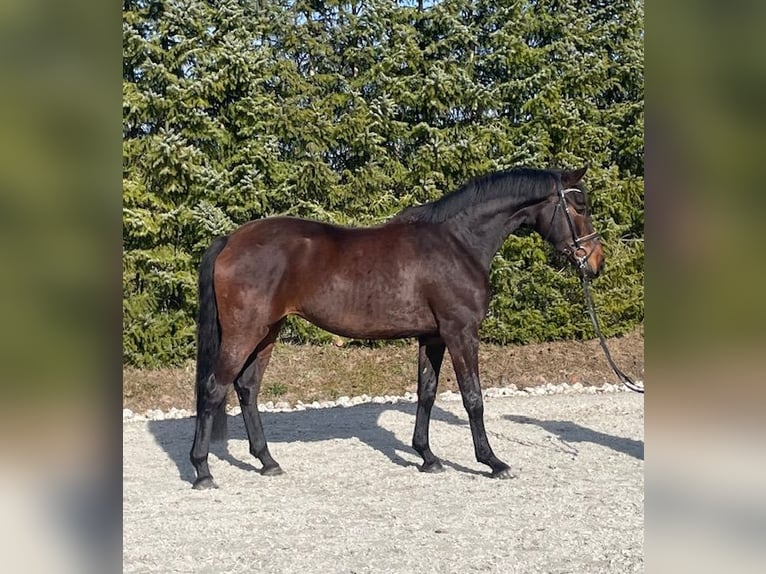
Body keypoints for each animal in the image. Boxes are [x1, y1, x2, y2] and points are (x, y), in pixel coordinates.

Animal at [189, 165, 604, 489]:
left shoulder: (432, 336)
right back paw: (203, 470)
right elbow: (473, 398)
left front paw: (427, 456)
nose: (595, 261)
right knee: (213, 389)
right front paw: (493, 462)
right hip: (244, 333)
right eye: (580, 206)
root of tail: (230, 239)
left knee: (247, 388)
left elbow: (427, 393)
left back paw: (267, 461)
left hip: (267, 333)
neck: (457, 243)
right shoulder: (460, 332)